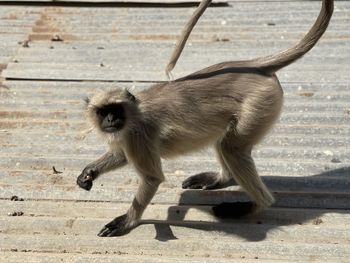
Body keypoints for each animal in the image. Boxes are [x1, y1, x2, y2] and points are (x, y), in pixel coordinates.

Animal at [76, 0, 334, 238]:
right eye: (103, 112)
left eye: (116, 109)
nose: (110, 120)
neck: (134, 113)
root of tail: (252, 65)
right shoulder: (125, 136)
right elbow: (120, 155)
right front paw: (89, 172)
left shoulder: (139, 135)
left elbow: (152, 178)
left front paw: (128, 221)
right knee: (226, 141)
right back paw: (220, 179)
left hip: (260, 103)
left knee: (231, 148)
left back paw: (254, 205)